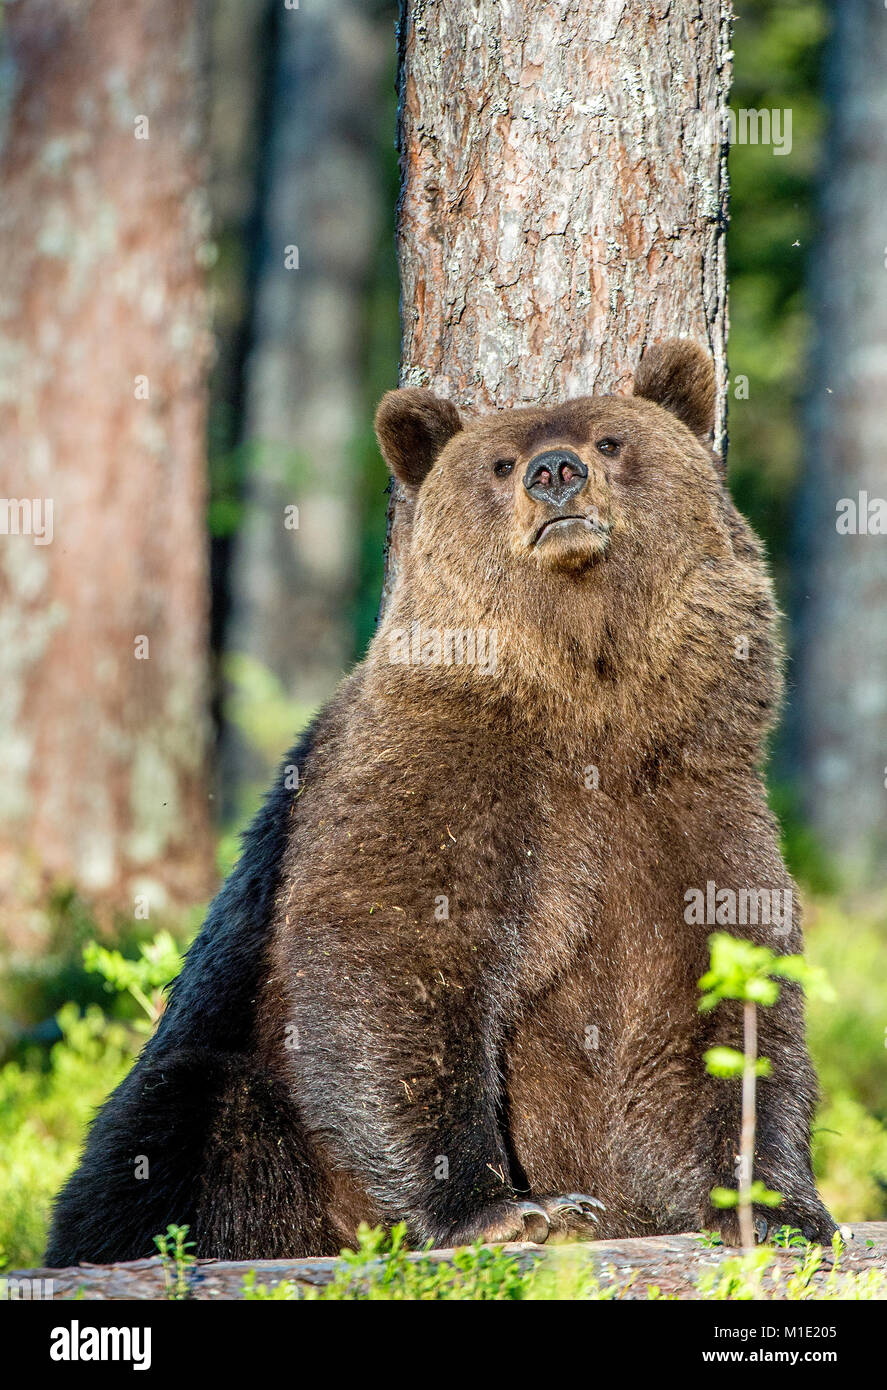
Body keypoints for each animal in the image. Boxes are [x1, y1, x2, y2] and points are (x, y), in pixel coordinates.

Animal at [44, 339, 834, 1265]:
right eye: (498, 463)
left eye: (609, 440)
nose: (555, 473)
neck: (588, 704)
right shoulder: (439, 770)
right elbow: (396, 961)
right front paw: (508, 1208)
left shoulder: (688, 802)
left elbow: (726, 1005)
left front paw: (775, 1208)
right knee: (193, 1126)